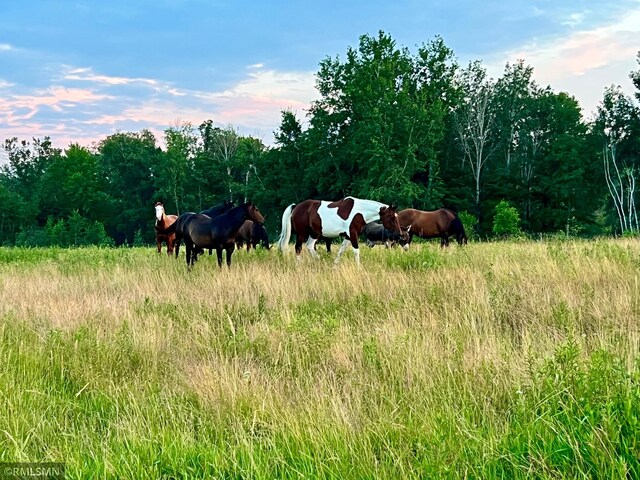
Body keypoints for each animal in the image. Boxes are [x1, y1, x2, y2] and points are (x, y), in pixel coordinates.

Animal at [276, 196, 404, 266]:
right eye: (392, 218)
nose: (400, 234)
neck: (359, 212)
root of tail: (296, 206)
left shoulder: (347, 237)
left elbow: (341, 251)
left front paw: (334, 265)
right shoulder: (353, 235)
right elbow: (356, 251)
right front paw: (359, 267)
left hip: (314, 234)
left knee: (309, 246)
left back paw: (321, 262)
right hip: (302, 234)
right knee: (298, 248)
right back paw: (299, 265)